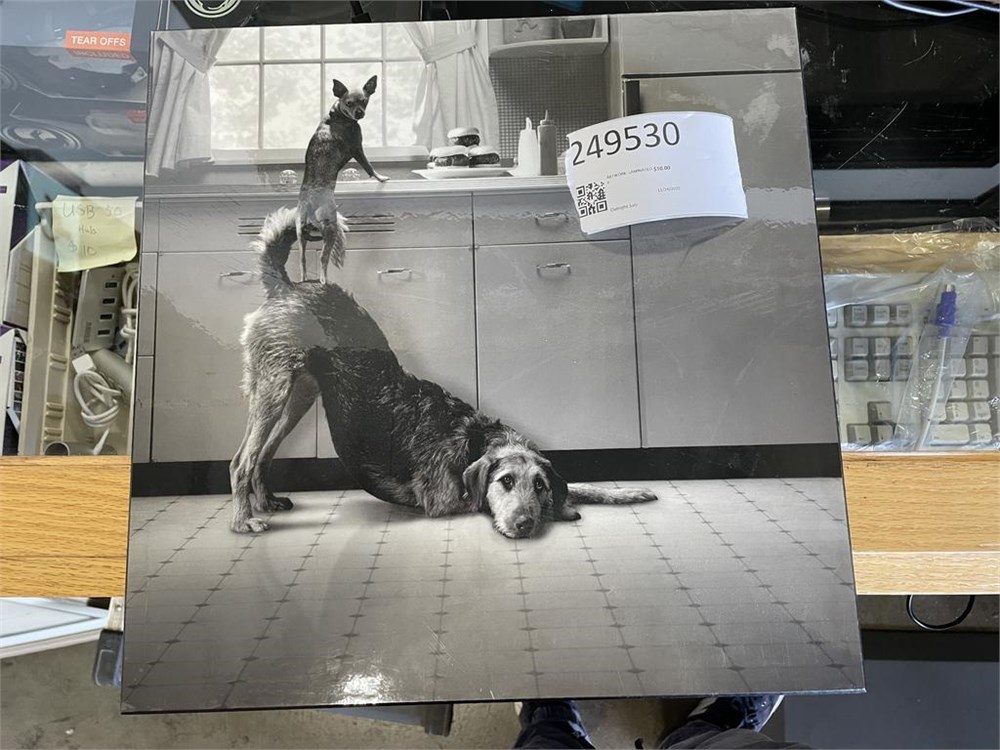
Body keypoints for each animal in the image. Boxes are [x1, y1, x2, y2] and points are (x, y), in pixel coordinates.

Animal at [230, 207, 657, 537]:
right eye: (505, 482)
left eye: (538, 485)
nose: (525, 526)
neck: (473, 439)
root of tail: (288, 287)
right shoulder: (443, 502)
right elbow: (482, 503)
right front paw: (564, 509)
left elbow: (582, 484)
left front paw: (625, 493)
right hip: (273, 388)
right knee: (241, 461)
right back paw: (243, 521)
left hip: (300, 395)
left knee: (263, 455)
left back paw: (265, 502)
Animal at [297, 75, 389, 285]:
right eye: (349, 103)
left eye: (364, 101)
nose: (359, 113)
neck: (337, 115)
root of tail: (309, 206)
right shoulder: (357, 148)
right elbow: (369, 167)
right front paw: (381, 178)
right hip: (331, 230)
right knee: (323, 258)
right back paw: (324, 280)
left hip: (300, 236)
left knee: (303, 259)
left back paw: (304, 279)